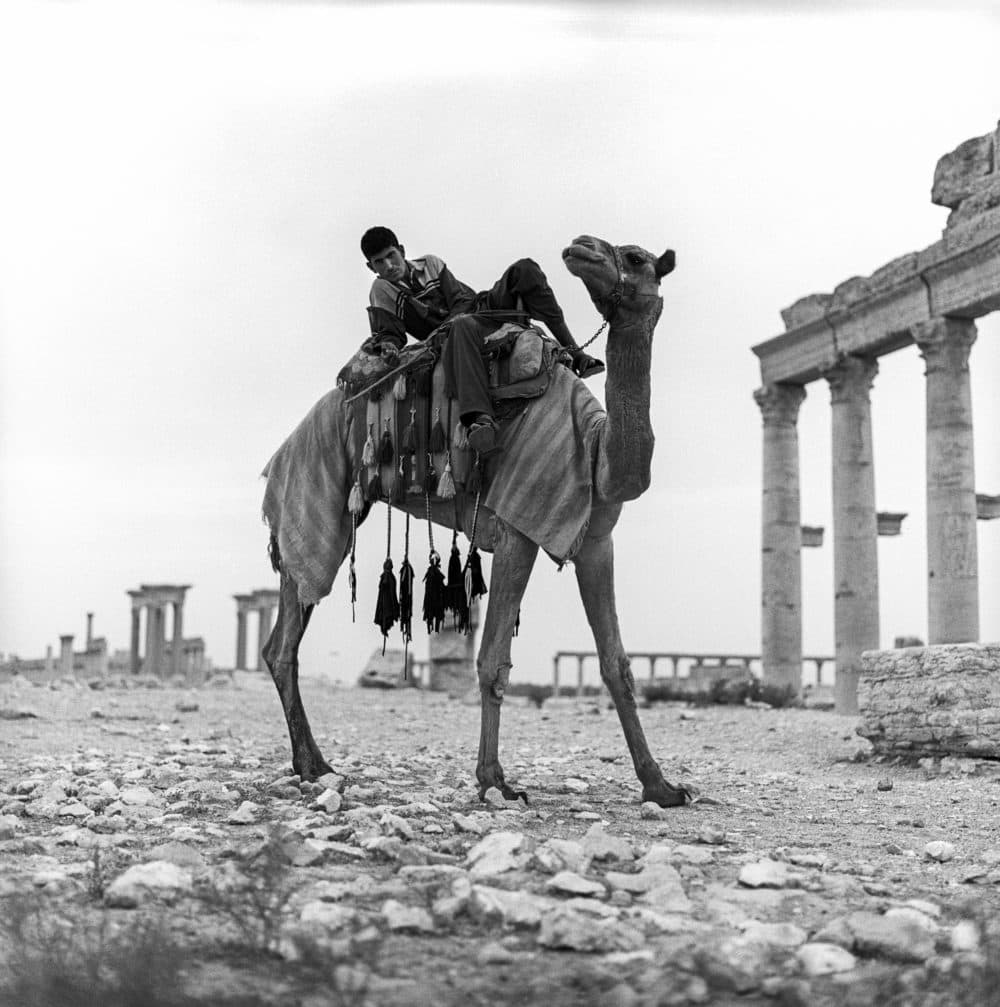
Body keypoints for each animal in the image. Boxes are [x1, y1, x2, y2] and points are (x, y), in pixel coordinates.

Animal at [261, 233, 688, 809]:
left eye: (636, 257)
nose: (582, 246)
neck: (598, 452)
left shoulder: (596, 539)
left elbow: (616, 663)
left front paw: (662, 786)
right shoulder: (517, 528)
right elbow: (492, 660)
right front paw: (495, 781)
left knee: (281, 641)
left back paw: (313, 764)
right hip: (312, 491)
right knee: (287, 633)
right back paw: (317, 767)